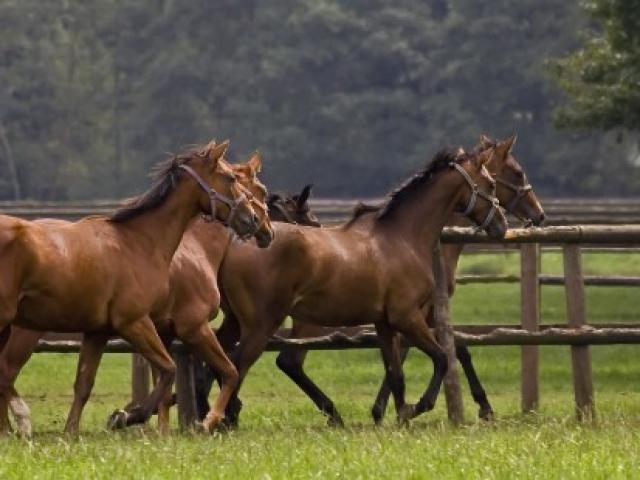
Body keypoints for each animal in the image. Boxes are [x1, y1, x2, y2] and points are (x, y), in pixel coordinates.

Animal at [0, 140, 268, 436]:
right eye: (232, 179)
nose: (257, 223)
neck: (139, 242)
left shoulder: (99, 332)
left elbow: (85, 384)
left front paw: (74, 432)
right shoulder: (148, 324)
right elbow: (180, 371)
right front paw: (129, 416)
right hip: (19, 328)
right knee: (5, 372)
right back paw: (21, 421)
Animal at [212, 146, 508, 428]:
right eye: (492, 184)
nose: (502, 226)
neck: (401, 237)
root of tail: (234, 246)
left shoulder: (385, 323)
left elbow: (397, 374)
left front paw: (399, 417)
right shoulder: (407, 317)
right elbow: (442, 358)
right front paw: (417, 408)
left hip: (245, 323)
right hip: (263, 325)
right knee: (237, 365)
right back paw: (225, 419)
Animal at [268, 134, 548, 424]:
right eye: (517, 172)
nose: (539, 215)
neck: (407, 237)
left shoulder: (409, 314)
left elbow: (423, 355)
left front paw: (388, 410)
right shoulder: (416, 312)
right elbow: (442, 352)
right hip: (310, 320)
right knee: (289, 360)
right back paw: (333, 412)